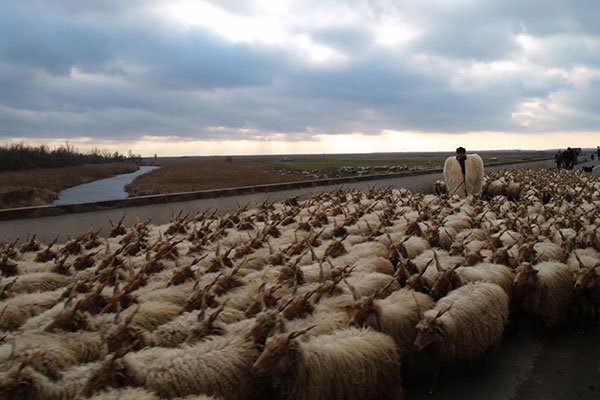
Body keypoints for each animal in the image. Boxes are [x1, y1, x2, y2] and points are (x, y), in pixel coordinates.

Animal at [253, 326, 404, 400]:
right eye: (264, 348)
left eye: (277, 352)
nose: (255, 368)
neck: (305, 365)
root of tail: (380, 335)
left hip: (389, 390)